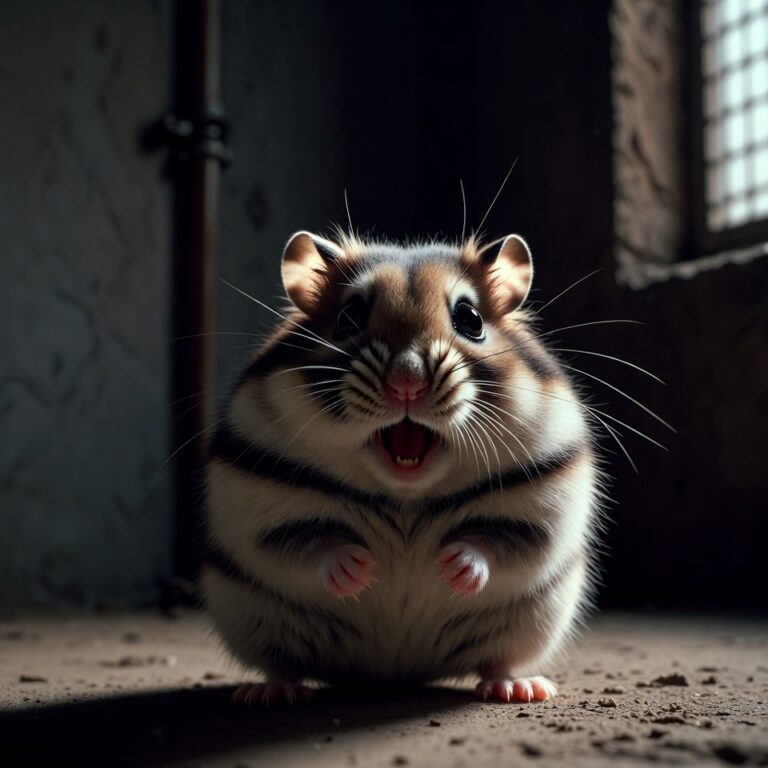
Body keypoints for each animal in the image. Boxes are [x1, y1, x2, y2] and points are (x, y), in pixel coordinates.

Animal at [202, 229, 601, 705]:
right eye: (350, 317)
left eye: (470, 319)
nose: (406, 383)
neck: (405, 493)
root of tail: (395, 673)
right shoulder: (268, 520)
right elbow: (315, 546)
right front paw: (362, 569)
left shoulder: (537, 517)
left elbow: (490, 544)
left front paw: (451, 567)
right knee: (282, 662)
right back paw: (272, 691)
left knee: (498, 660)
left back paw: (518, 688)